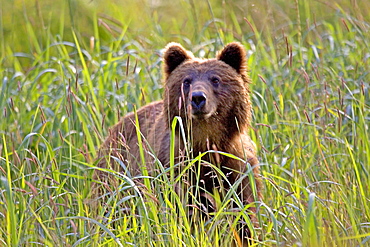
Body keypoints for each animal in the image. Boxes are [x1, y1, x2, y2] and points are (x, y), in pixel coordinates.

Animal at [97, 42, 262, 245]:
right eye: (186, 81)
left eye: (215, 79)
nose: (198, 98)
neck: (206, 142)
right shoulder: (174, 167)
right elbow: (185, 209)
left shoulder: (237, 166)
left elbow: (243, 211)